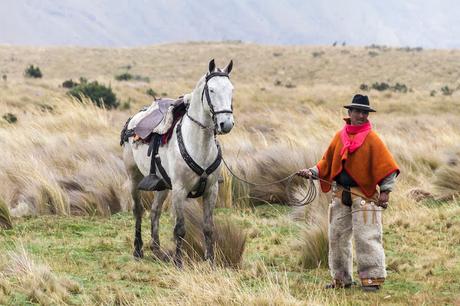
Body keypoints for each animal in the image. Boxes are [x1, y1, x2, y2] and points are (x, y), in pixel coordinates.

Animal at [121, 59, 234, 268]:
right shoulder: (180, 191)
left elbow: (208, 227)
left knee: (155, 211)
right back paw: (138, 249)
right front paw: (179, 261)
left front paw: (210, 261)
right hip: (134, 178)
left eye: (231, 89)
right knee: (138, 211)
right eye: (211, 90)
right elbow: (180, 228)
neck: (198, 144)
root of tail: (134, 120)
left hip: (163, 185)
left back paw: (156, 249)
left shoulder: (211, 190)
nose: (226, 124)